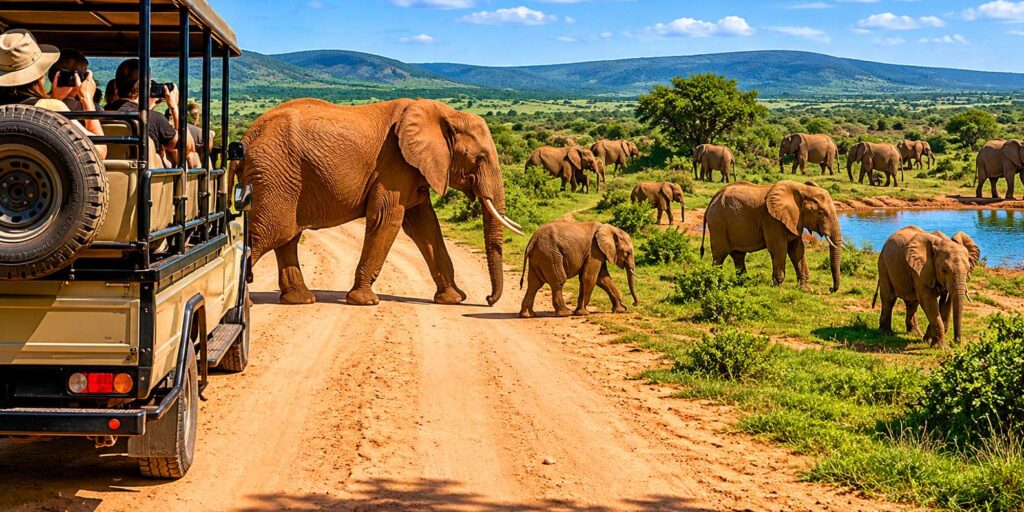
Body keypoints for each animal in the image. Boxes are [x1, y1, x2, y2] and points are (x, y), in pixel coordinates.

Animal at [237, 98, 523, 307]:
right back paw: (246, 306)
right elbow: (387, 219)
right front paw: (365, 301)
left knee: (287, 237)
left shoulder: (413, 169)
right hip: (274, 174)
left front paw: (453, 299)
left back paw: (300, 300)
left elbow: (426, 227)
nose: (488, 299)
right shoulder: (394, 164)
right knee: (269, 233)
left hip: (283, 179)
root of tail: (247, 137)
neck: (446, 113)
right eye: (480, 159)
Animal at [701, 180, 843, 293]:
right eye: (821, 213)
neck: (803, 189)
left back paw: (744, 283)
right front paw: (778, 289)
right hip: (718, 224)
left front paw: (806, 290)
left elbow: (797, 250)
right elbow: (779, 249)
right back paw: (716, 282)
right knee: (719, 256)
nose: (831, 289)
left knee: (738, 255)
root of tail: (712, 200)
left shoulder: (795, 220)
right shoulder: (772, 220)